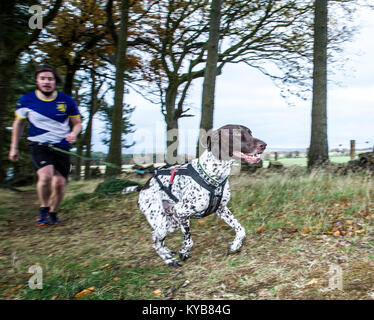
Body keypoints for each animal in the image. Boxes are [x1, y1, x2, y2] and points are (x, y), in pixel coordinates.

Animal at [124, 125, 268, 268]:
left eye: (250, 133)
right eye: (237, 134)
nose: (264, 145)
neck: (212, 174)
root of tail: (144, 187)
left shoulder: (221, 209)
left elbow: (241, 229)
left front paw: (235, 244)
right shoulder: (182, 212)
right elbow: (189, 241)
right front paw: (184, 252)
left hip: (172, 223)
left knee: (156, 237)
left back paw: (167, 253)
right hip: (163, 221)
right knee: (156, 241)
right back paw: (169, 260)